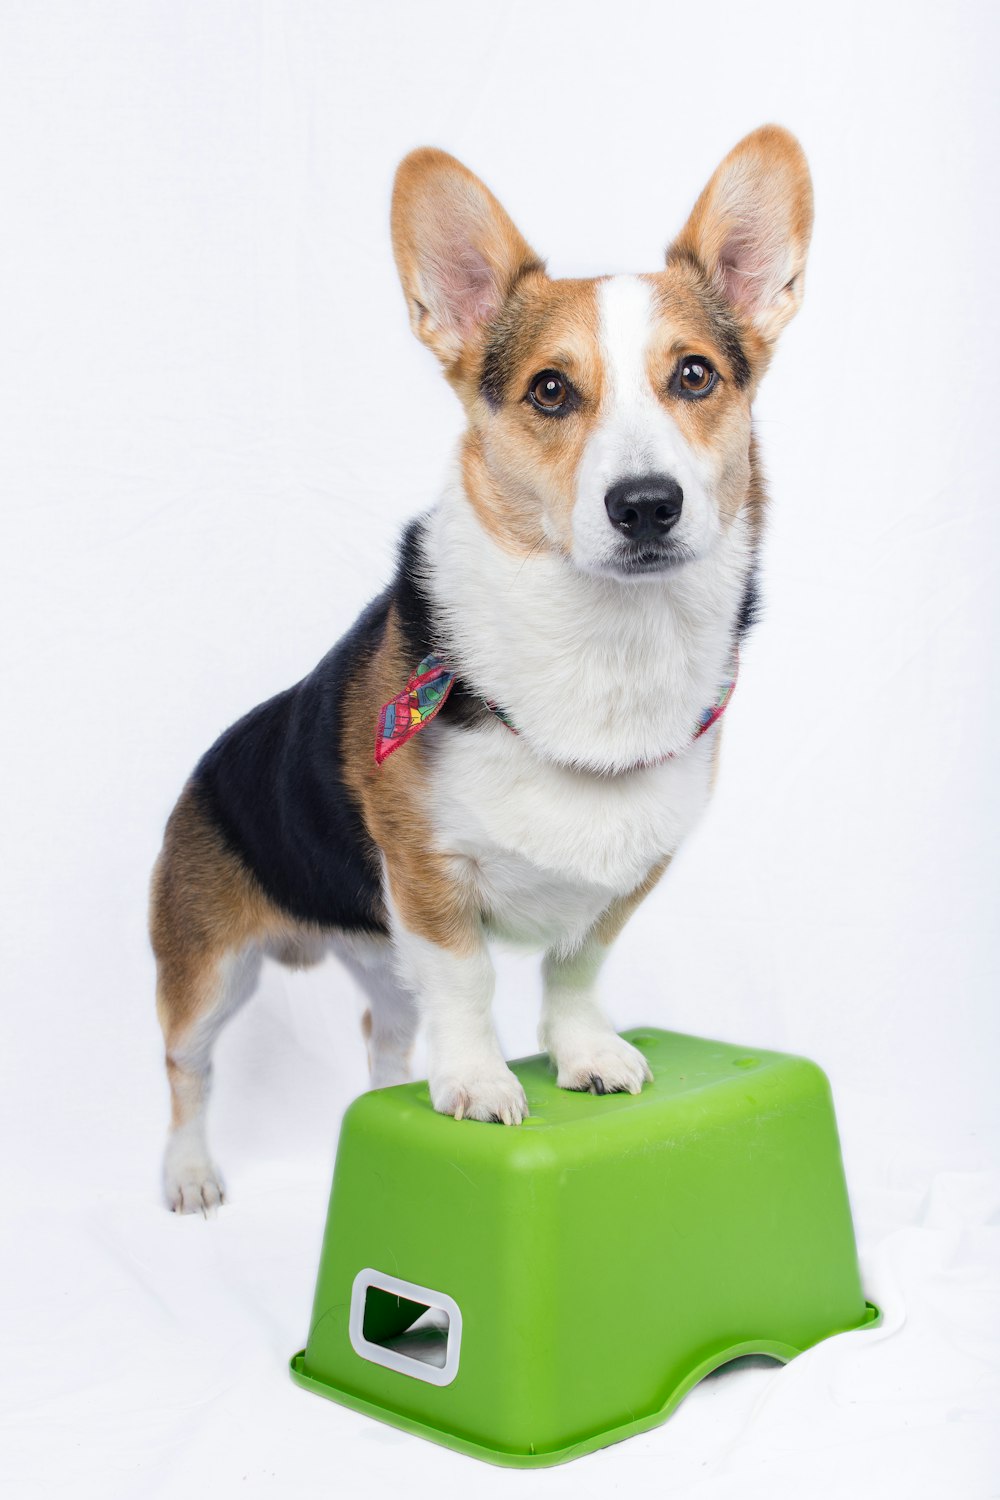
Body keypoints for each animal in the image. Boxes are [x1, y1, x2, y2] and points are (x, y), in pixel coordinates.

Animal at [152, 126, 815, 1206]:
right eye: (550, 389)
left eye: (695, 376)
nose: (646, 504)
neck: (603, 642)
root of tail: (205, 767)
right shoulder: (428, 878)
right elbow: (469, 981)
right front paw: (475, 1082)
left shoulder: (628, 876)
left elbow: (575, 968)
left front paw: (586, 1056)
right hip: (207, 973)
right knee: (186, 1071)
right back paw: (190, 1174)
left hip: (378, 957)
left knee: (384, 1032)